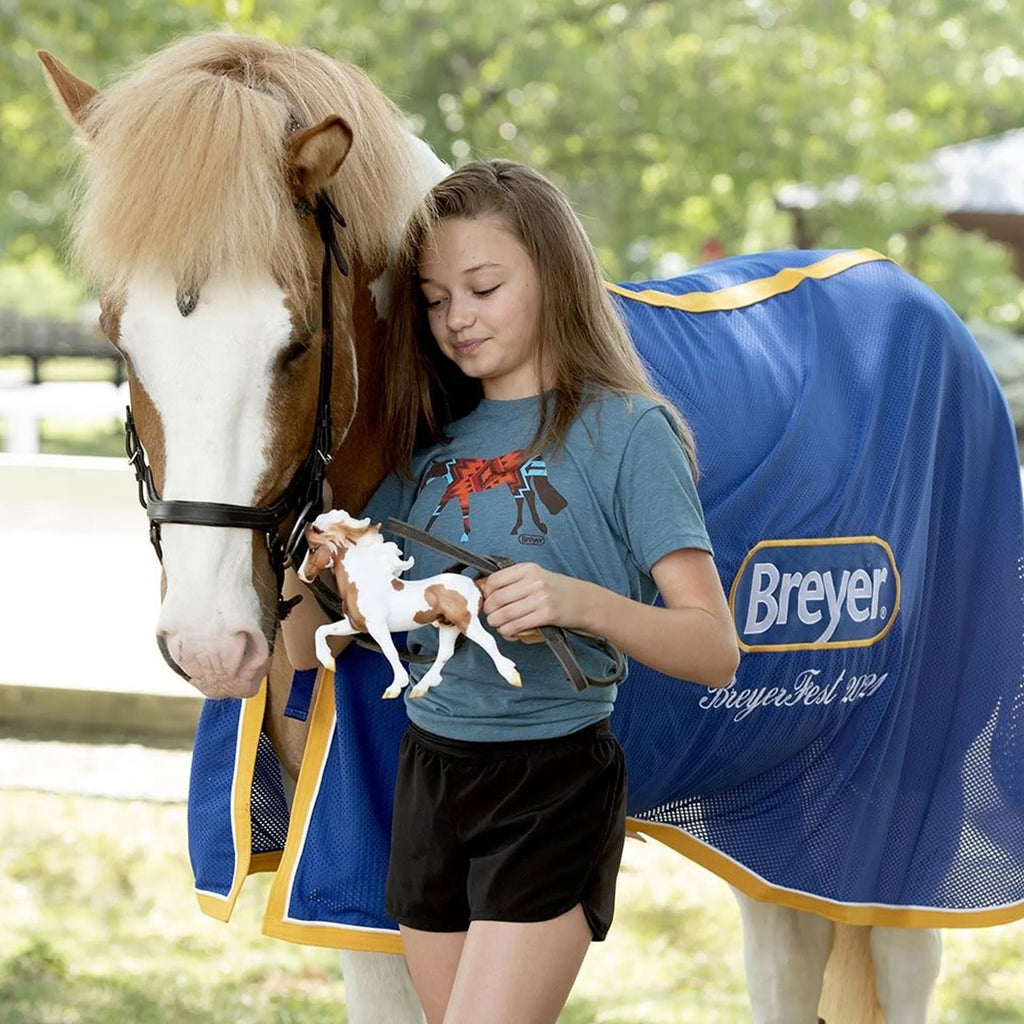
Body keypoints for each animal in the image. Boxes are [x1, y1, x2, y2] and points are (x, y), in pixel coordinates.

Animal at [41, 32, 1024, 1024]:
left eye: (297, 344)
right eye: (119, 339)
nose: (209, 641)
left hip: (890, 818)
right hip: (775, 808)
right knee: (787, 943)